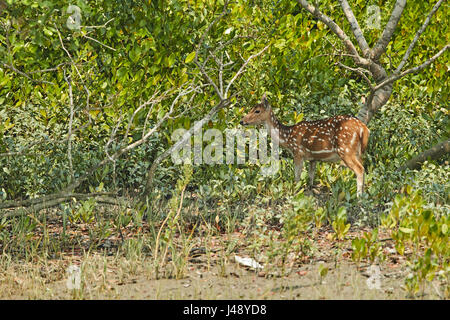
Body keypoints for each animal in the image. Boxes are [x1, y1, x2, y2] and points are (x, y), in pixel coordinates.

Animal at [241, 94, 370, 196]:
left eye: (257, 111)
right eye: (251, 108)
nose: (242, 121)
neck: (287, 137)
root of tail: (363, 128)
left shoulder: (298, 152)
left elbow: (297, 176)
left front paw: (295, 191)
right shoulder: (313, 158)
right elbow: (311, 176)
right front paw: (310, 190)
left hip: (346, 149)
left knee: (360, 169)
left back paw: (359, 196)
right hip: (357, 152)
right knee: (363, 167)